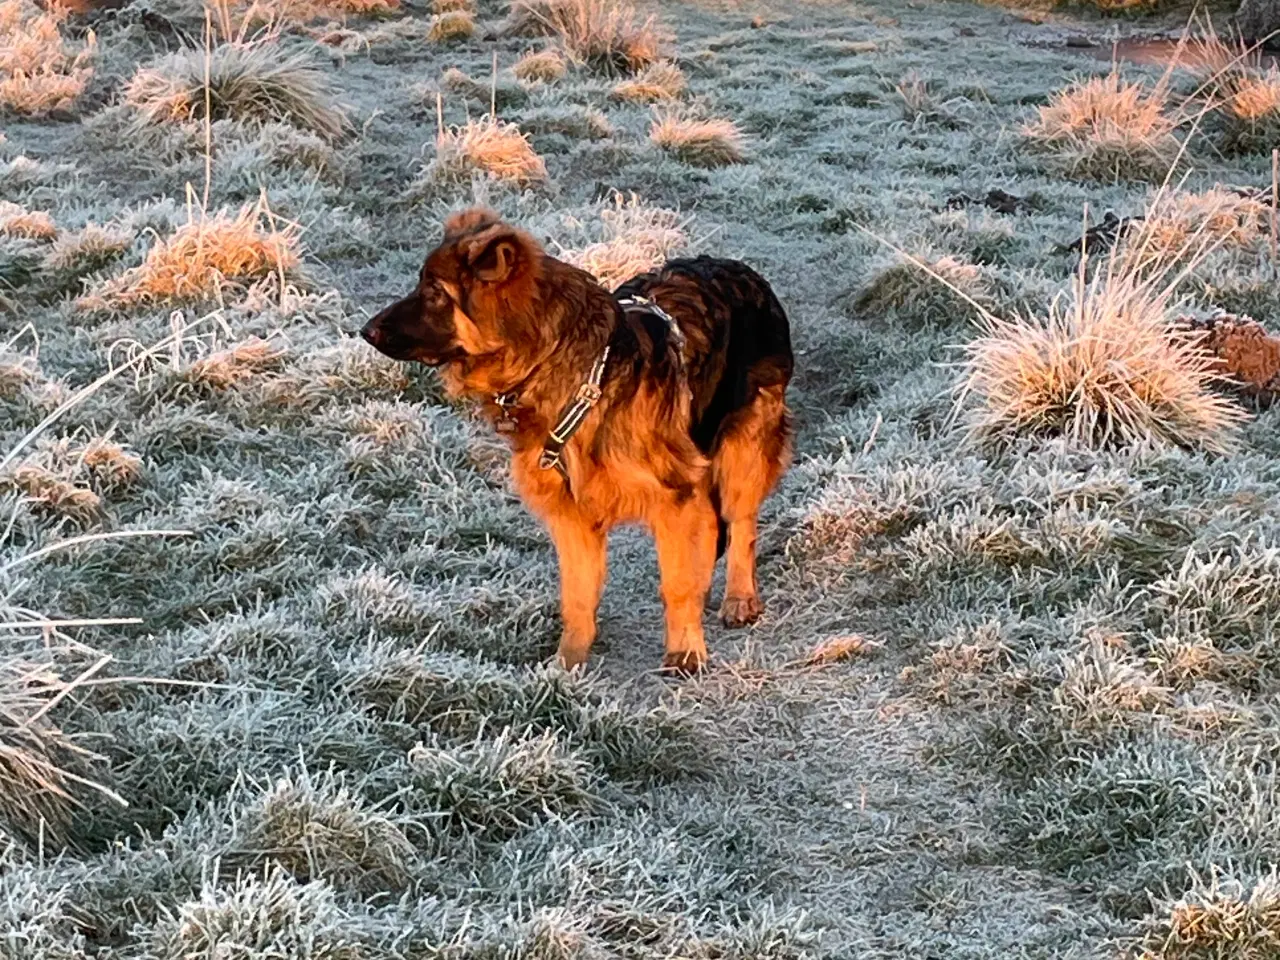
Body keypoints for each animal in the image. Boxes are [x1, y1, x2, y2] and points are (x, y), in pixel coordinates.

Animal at [360, 208, 793, 675]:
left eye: (435, 292)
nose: (366, 331)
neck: (571, 372)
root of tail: (738, 268)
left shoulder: (672, 496)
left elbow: (676, 584)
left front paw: (685, 651)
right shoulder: (572, 514)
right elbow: (578, 596)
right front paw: (567, 665)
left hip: (743, 450)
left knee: (740, 523)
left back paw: (739, 597)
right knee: (713, 525)